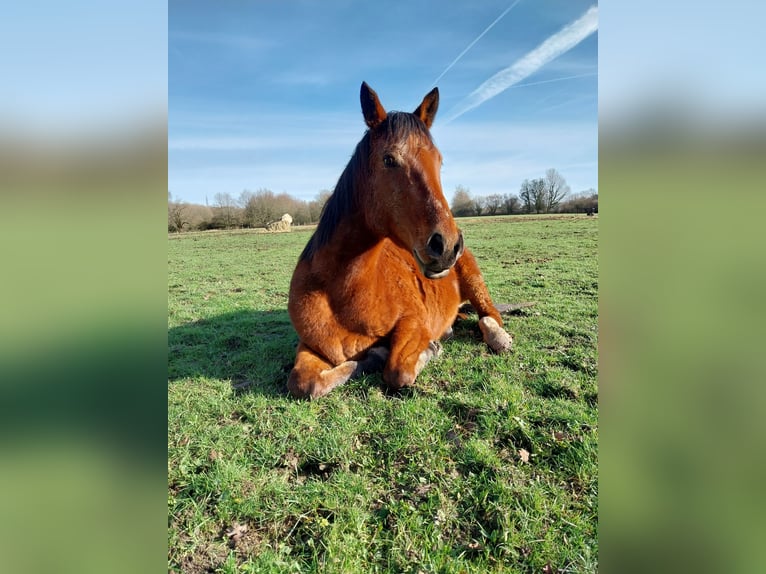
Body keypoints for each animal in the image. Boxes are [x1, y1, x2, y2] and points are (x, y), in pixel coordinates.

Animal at [284, 82, 512, 400]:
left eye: (439, 161)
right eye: (389, 159)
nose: (447, 245)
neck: (339, 293)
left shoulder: (413, 322)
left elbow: (397, 371)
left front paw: (427, 350)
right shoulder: (310, 345)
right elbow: (303, 383)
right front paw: (372, 356)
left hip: (476, 284)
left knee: (489, 316)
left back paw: (498, 337)